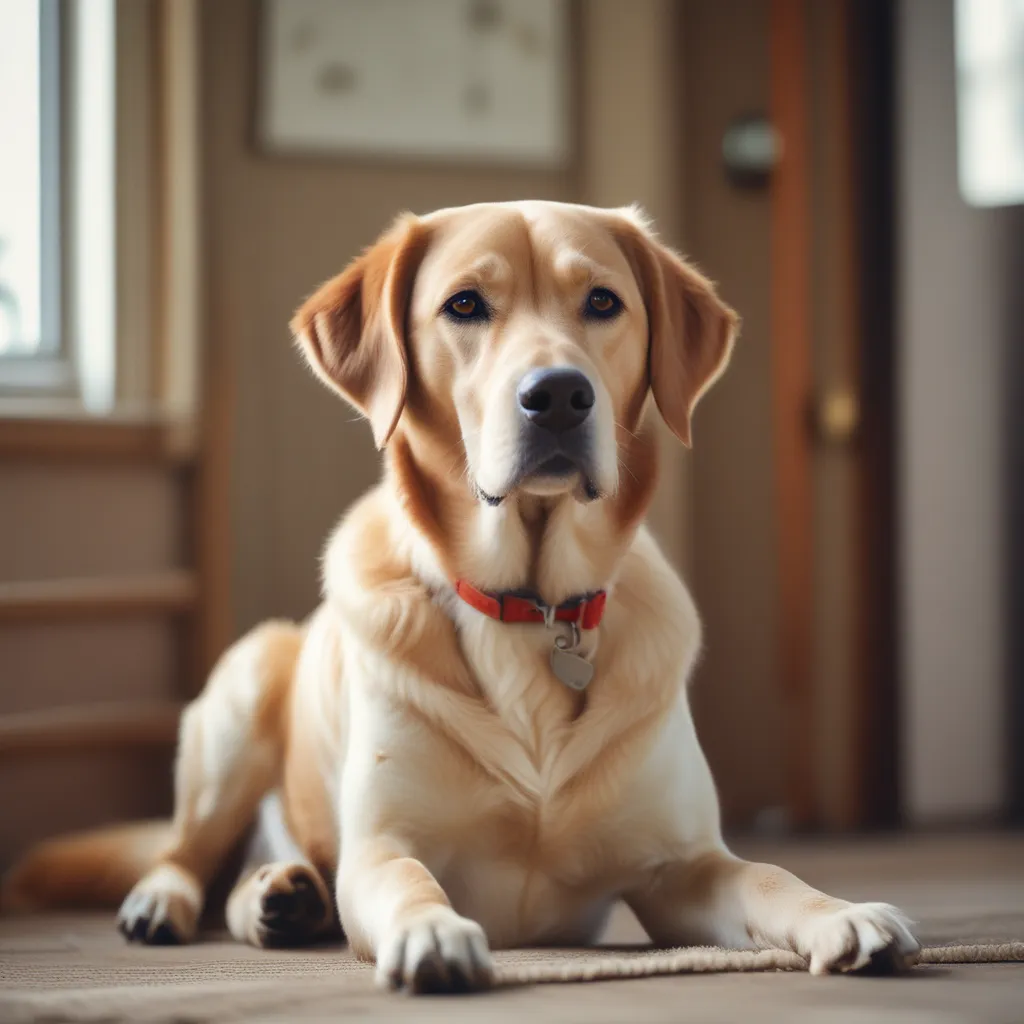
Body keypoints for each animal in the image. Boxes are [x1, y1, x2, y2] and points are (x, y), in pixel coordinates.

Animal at [2, 201, 921, 991]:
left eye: (603, 301)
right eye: (466, 306)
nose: (558, 394)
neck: (532, 606)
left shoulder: (684, 868)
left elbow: (769, 875)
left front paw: (843, 914)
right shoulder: (383, 846)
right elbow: (411, 881)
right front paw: (432, 933)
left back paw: (283, 897)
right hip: (244, 688)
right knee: (185, 854)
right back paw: (178, 900)